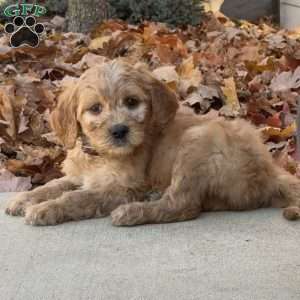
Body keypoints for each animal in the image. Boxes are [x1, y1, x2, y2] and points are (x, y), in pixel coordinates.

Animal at [4, 60, 300, 225]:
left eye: (132, 102)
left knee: (184, 205)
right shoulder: (78, 175)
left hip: (197, 141)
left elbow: (78, 197)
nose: (119, 130)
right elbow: (54, 185)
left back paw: (132, 213)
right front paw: (24, 200)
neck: (99, 155)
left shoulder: (124, 188)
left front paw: (45, 209)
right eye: (95, 108)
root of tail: (269, 170)